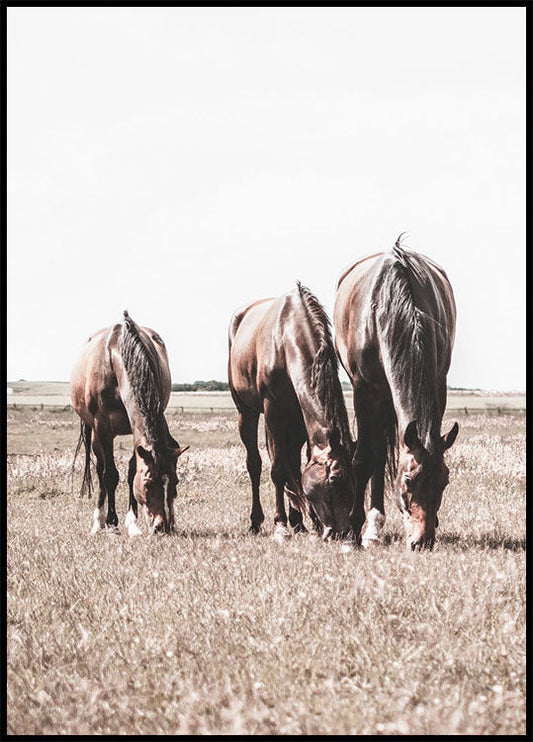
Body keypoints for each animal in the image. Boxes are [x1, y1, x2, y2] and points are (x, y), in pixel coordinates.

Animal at [69, 310, 188, 536]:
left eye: (176, 481)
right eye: (148, 484)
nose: (162, 527)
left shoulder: (137, 429)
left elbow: (132, 471)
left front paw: (132, 523)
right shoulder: (102, 428)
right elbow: (109, 475)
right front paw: (111, 522)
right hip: (95, 434)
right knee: (100, 469)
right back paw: (99, 521)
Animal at [227, 282, 356, 544]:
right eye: (334, 479)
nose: (343, 533)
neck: (286, 340)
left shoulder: (299, 419)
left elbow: (298, 468)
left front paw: (307, 522)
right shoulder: (273, 412)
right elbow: (277, 469)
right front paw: (280, 525)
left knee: (292, 465)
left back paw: (298, 521)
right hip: (247, 412)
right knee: (255, 464)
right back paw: (257, 522)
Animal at [332, 240, 458, 552]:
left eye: (445, 481)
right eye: (409, 480)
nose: (422, 541)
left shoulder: (438, 384)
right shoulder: (364, 391)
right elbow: (363, 459)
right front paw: (353, 532)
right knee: (376, 453)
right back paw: (371, 529)